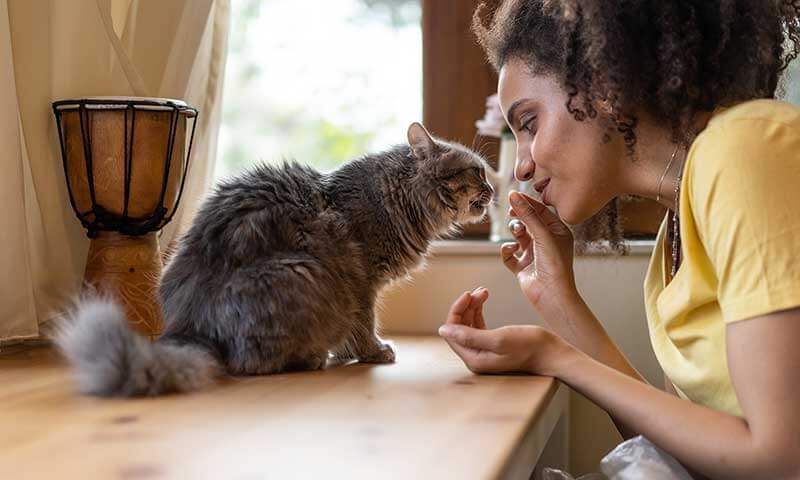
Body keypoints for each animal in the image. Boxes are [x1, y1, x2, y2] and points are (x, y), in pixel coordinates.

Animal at [56, 123, 494, 398]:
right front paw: (371, 352)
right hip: (302, 272)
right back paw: (312, 358)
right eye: (477, 172)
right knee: (251, 364)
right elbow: (363, 324)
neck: (394, 199)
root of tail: (194, 324)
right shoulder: (362, 281)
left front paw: (349, 352)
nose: (493, 187)